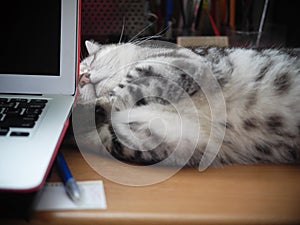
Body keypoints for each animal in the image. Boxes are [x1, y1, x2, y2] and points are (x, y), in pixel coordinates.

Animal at [72, 39, 300, 168]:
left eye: (89, 63)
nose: (82, 78)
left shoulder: (178, 62)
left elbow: (129, 85)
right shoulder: (170, 136)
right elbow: (107, 133)